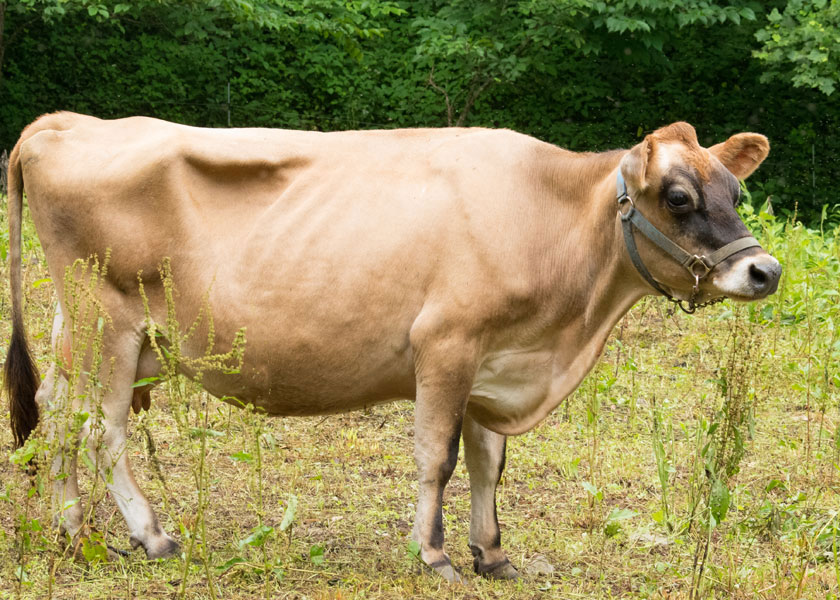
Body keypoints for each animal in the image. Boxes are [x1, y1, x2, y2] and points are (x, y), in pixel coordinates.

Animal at [5, 113, 780, 582]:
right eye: (678, 197)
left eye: (736, 190)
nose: (765, 271)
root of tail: (65, 123)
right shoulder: (446, 343)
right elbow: (438, 457)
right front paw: (433, 554)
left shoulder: (495, 359)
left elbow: (489, 462)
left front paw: (492, 552)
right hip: (105, 319)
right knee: (100, 429)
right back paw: (151, 534)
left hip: (82, 329)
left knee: (57, 413)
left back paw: (70, 530)